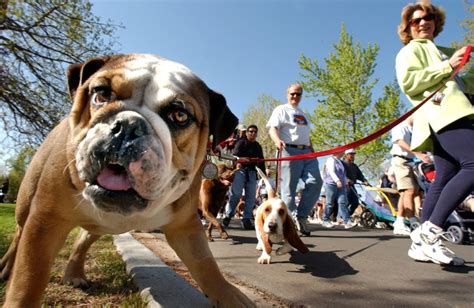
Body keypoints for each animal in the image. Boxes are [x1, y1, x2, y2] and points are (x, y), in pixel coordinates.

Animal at [0, 54, 254, 306]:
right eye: (101, 94)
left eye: (180, 116)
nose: (129, 126)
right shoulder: (45, 219)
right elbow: (28, 279)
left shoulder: (185, 227)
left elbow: (205, 264)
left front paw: (229, 296)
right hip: (27, 201)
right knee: (19, 233)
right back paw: (7, 266)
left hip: (99, 224)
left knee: (83, 239)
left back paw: (74, 274)